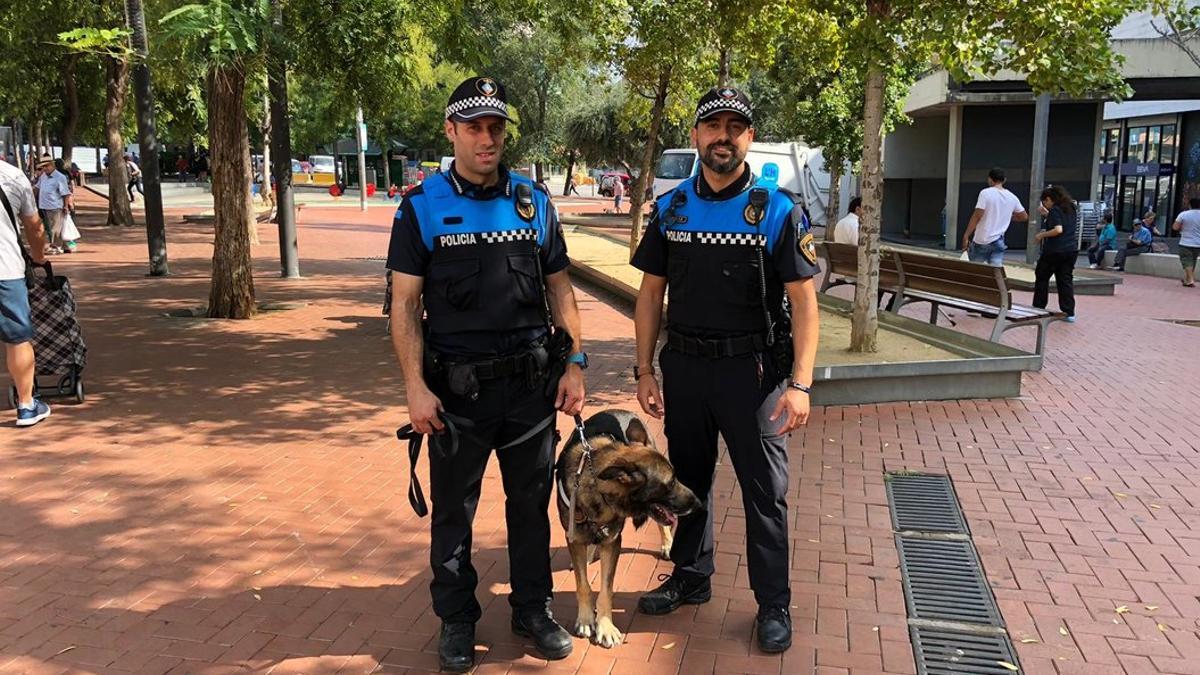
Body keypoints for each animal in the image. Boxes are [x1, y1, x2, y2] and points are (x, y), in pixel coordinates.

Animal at [554, 408, 700, 643]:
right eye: (670, 483)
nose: (698, 503)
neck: (598, 488)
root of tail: (620, 410)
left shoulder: (613, 542)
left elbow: (606, 590)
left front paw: (605, 626)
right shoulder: (575, 539)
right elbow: (583, 585)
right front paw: (586, 620)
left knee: (662, 526)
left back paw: (667, 545)